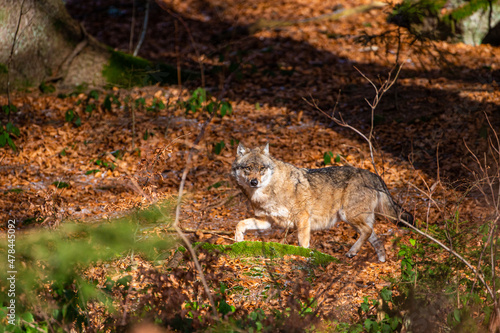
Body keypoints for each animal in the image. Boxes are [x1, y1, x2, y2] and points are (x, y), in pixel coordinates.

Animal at [230, 143, 414, 262]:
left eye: (262, 168)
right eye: (248, 168)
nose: (254, 182)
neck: (269, 192)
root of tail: (373, 174)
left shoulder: (303, 218)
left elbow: (303, 243)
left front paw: (303, 257)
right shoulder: (266, 221)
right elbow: (240, 223)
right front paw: (238, 241)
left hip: (349, 216)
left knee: (368, 231)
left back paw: (352, 252)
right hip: (355, 220)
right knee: (374, 236)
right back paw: (380, 259)